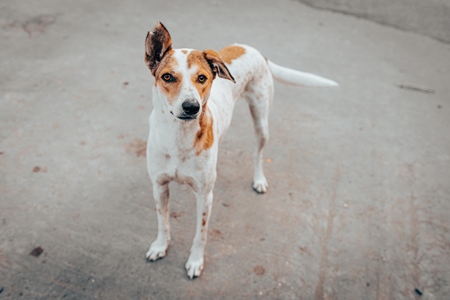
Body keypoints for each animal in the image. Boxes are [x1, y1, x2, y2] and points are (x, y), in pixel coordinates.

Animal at [142, 21, 336, 278]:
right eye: (167, 76)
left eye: (202, 78)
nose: (192, 107)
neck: (178, 137)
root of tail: (253, 50)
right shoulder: (159, 186)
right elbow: (162, 222)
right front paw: (160, 246)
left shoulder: (204, 197)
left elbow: (201, 234)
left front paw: (195, 261)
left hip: (261, 121)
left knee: (258, 153)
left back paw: (259, 180)